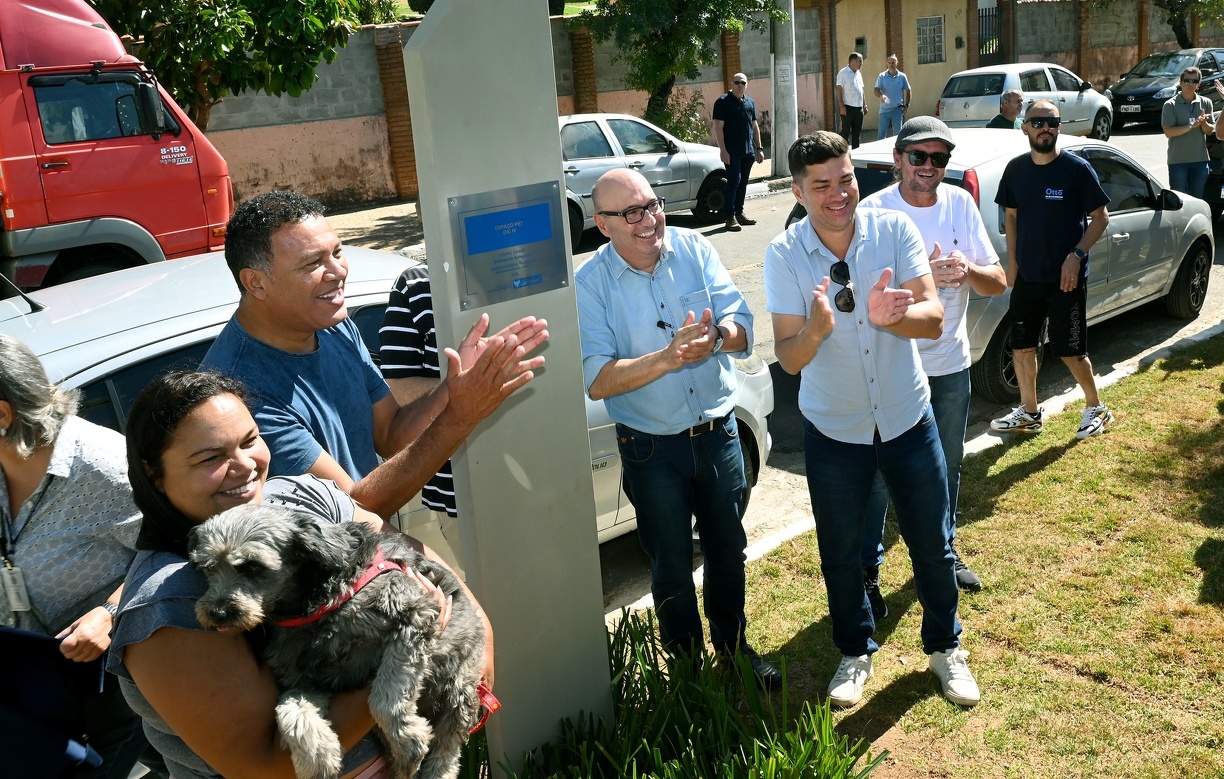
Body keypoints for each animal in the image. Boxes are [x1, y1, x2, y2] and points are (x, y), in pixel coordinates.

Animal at [186, 504, 482, 779]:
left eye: (253, 566)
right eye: (208, 568)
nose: (217, 613)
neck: (313, 609)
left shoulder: (413, 613)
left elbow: (385, 693)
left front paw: (407, 737)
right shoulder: (305, 679)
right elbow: (289, 710)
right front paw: (318, 755)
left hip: (460, 689)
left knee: (448, 744)